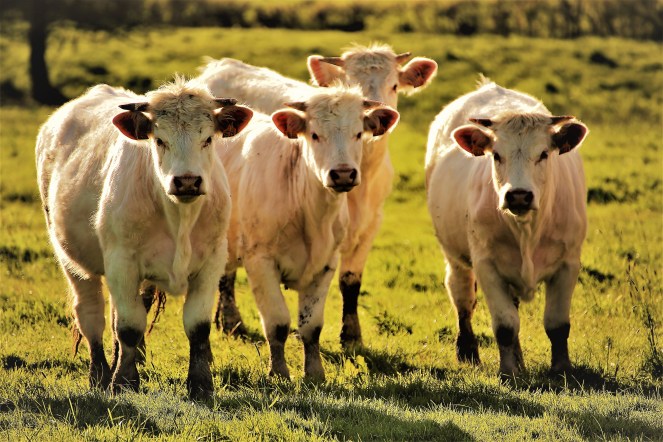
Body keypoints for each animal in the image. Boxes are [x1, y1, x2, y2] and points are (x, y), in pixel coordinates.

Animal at [36, 78, 253, 399]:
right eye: (159, 140)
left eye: (207, 140)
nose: (187, 181)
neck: (179, 218)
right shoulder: (121, 262)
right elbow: (128, 326)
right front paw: (124, 381)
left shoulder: (211, 263)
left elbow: (197, 326)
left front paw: (200, 384)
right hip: (73, 260)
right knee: (92, 314)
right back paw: (100, 374)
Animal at [198, 44, 437, 348]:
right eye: (348, 82)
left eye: (394, 85)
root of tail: (221, 66)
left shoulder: (369, 226)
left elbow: (351, 282)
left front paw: (352, 336)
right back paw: (231, 321)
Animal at [217, 86, 399, 379]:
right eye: (315, 134)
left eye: (358, 133)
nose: (343, 174)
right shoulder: (260, 261)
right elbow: (278, 323)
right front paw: (279, 373)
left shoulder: (326, 264)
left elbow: (311, 326)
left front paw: (315, 374)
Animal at [425, 78, 589, 377]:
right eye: (496, 156)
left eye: (544, 154)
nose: (519, 195)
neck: (527, 230)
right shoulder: (486, 265)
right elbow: (505, 326)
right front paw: (508, 371)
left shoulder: (568, 263)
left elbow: (557, 325)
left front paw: (561, 369)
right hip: (454, 256)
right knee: (462, 296)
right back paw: (468, 352)